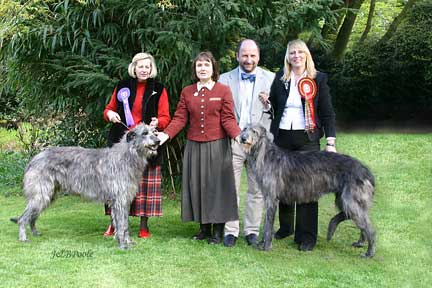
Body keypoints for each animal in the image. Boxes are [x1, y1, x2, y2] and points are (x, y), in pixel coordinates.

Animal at [11, 124, 159, 250]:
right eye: (145, 133)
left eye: (154, 131)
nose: (158, 141)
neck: (128, 156)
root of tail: (33, 159)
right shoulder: (119, 200)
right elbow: (122, 224)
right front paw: (123, 244)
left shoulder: (125, 200)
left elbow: (125, 224)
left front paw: (127, 241)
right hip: (41, 194)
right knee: (23, 217)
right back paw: (23, 238)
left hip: (49, 195)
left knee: (32, 216)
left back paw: (34, 232)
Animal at [238, 125, 376, 258]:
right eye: (244, 128)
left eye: (254, 131)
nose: (243, 138)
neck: (265, 155)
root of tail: (365, 170)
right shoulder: (268, 197)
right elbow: (267, 223)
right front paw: (262, 243)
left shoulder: (271, 199)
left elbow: (268, 224)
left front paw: (266, 246)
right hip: (343, 198)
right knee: (355, 217)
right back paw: (359, 242)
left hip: (350, 200)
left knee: (368, 226)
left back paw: (369, 252)